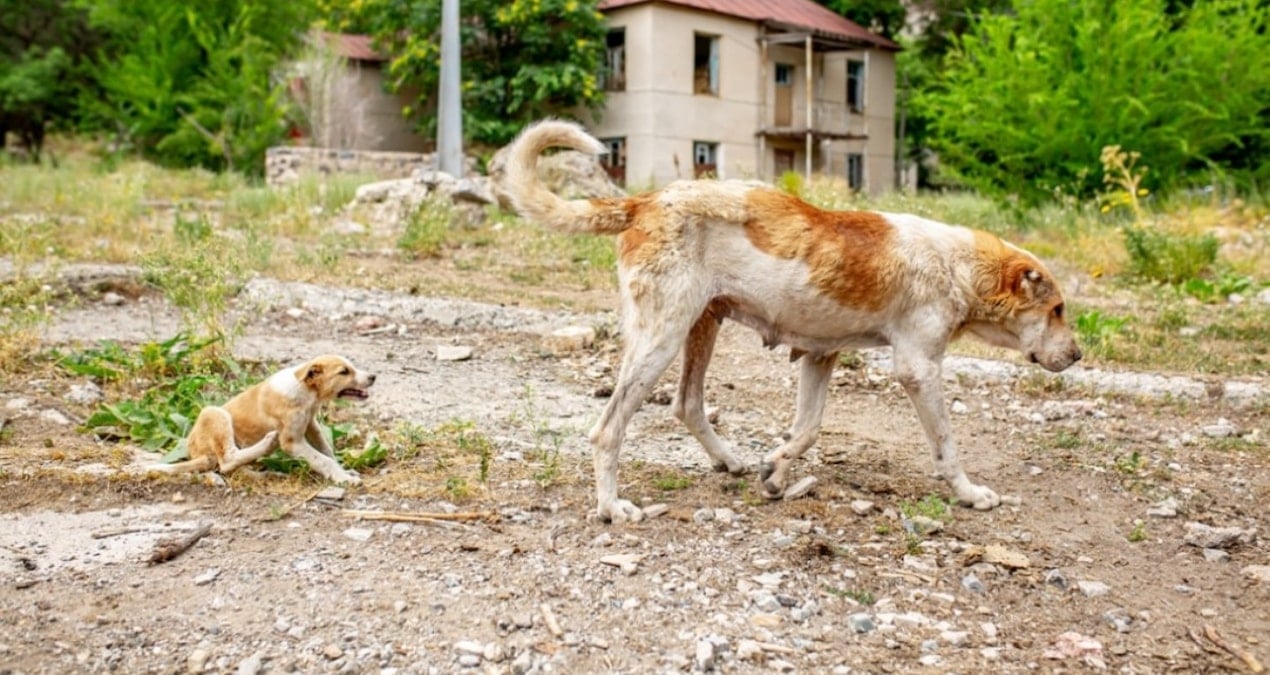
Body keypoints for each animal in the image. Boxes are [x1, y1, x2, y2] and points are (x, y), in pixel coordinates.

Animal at [149, 353, 375, 485]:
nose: (373, 377)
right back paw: (268, 444)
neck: (306, 392)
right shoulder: (292, 442)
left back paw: (267, 474)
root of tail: (195, 452)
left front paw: (344, 471)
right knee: (228, 460)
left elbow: (326, 449)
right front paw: (343, 478)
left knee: (231, 469)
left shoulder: (311, 424)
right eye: (344, 371)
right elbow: (322, 459)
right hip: (215, 413)